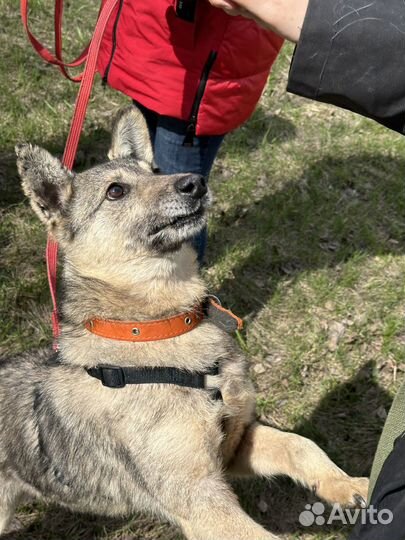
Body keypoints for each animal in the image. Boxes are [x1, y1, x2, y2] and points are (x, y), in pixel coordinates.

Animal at [1, 106, 368, 540]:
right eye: (115, 191)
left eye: (156, 169)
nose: (195, 182)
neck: (157, 328)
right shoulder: (201, 499)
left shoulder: (235, 445)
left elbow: (300, 444)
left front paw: (346, 484)